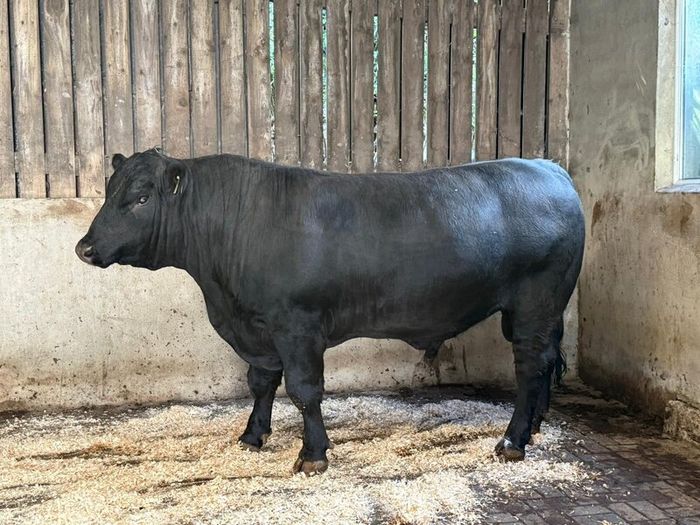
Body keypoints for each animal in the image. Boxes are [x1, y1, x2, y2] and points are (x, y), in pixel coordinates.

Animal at [76, 149, 585, 475]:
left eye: (141, 199)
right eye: (109, 192)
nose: (84, 248)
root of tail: (549, 168)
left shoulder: (296, 326)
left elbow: (304, 391)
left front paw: (312, 455)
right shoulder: (259, 331)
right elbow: (261, 382)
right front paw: (252, 436)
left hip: (535, 305)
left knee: (528, 367)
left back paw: (512, 441)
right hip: (535, 313)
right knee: (542, 365)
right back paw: (534, 428)